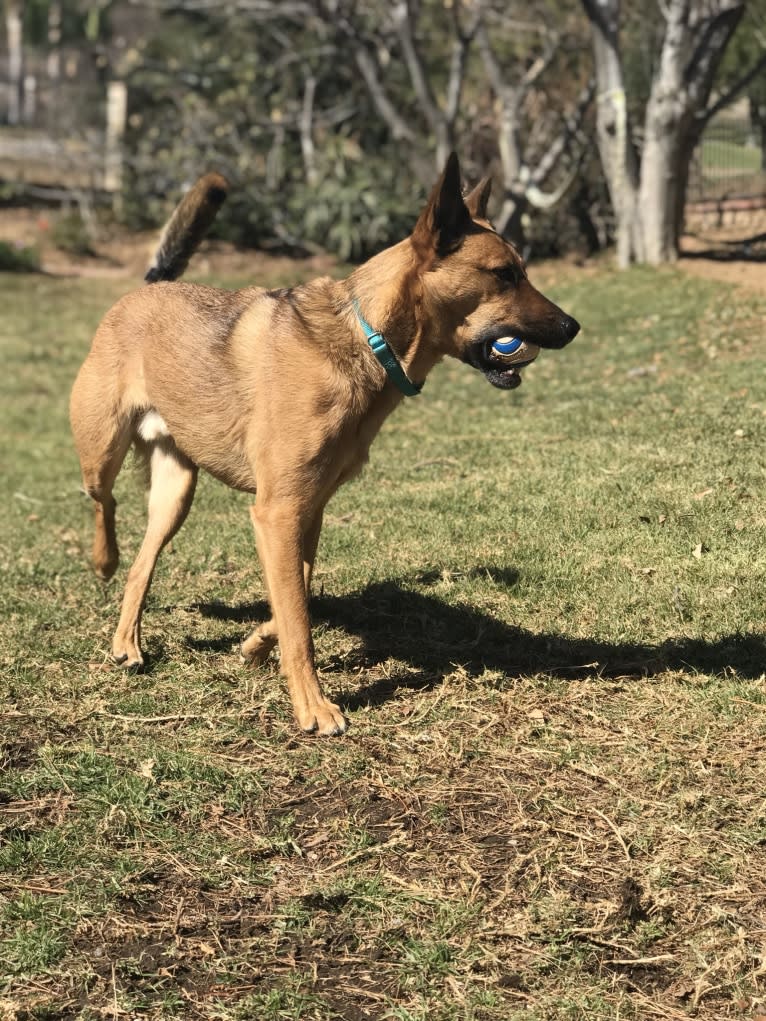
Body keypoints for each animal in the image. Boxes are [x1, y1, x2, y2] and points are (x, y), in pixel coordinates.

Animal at [70, 153, 580, 735]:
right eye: (504, 274)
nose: (572, 326)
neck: (367, 340)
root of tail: (150, 286)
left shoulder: (306, 509)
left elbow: (298, 595)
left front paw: (256, 644)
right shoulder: (278, 511)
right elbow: (298, 619)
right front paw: (313, 706)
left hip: (175, 494)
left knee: (143, 563)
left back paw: (127, 640)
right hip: (101, 449)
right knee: (104, 504)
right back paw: (103, 563)